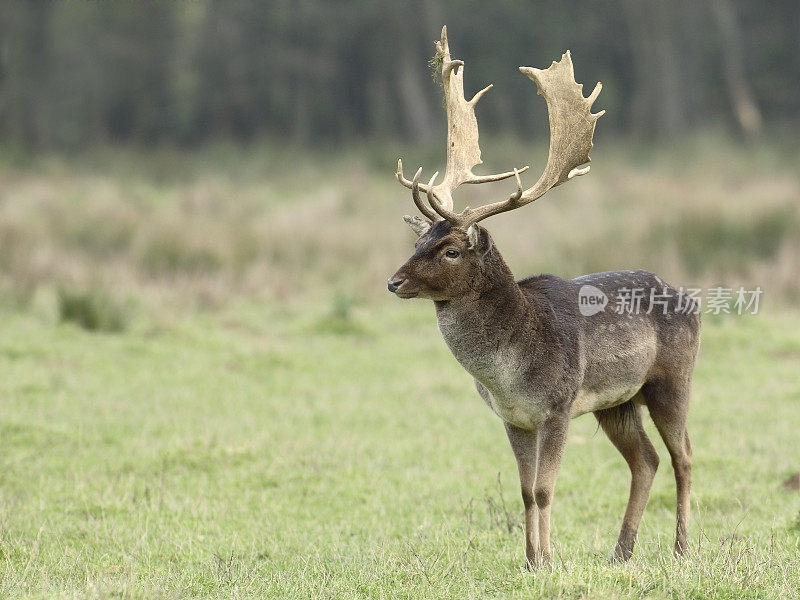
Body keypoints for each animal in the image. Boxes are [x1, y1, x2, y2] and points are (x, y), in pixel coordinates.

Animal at [388, 27, 700, 568]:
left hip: (671, 379)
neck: (510, 372)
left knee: (683, 457)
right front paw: (532, 560)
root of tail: (694, 303)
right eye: (418, 240)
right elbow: (524, 491)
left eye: (450, 250)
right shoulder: (514, 418)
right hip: (617, 402)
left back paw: (681, 549)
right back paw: (621, 552)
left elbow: (545, 489)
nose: (394, 281)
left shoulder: (557, 407)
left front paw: (549, 560)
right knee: (646, 460)